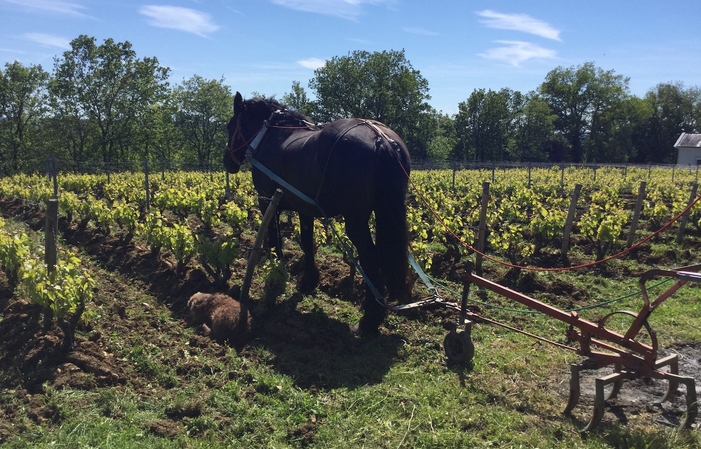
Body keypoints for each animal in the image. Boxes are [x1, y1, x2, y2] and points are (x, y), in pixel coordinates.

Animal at [224, 91, 410, 332]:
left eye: (230, 126)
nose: (227, 161)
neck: (271, 136)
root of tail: (380, 139)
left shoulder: (267, 201)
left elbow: (275, 242)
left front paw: (275, 278)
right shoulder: (305, 208)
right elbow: (307, 243)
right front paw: (308, 281)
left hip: (355, 221)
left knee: (370, 258)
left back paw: (369, 321)